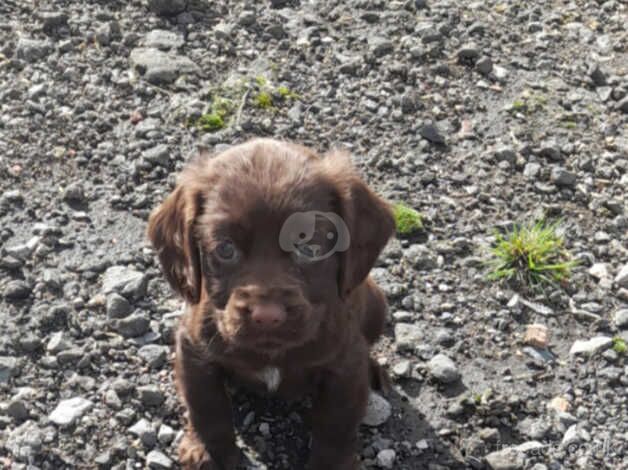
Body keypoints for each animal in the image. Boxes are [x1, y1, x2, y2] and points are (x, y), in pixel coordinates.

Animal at [147, 140, 392, 470]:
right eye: (225, 249)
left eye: (309, 247)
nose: (267, 316)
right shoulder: (194, 349)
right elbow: (206, 406)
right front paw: (210, 451)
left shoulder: (346, 364)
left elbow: (336, 424)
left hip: (377, 305)